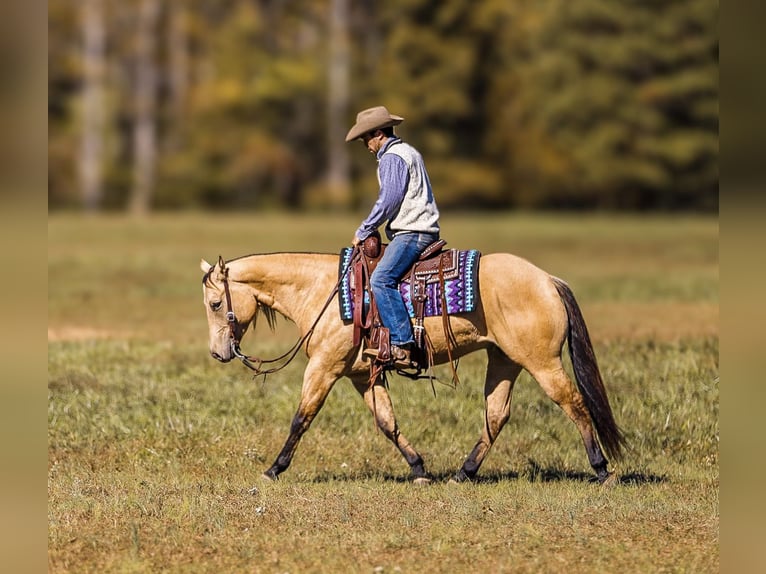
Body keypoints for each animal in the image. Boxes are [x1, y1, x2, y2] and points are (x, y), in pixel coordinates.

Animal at [201, 252, 628, 486]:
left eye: (215, 304)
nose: (218, 353)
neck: (322, 291)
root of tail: (548, 280)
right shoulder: (361, 375)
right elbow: (387, 422)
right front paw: (419, 468)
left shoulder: (324, 367)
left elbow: (301, 418)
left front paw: (274, 469)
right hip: (505, 360)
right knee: (496, 414)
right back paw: (463, 473)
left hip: (542, 362)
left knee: (574, 403)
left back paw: (601, 469)